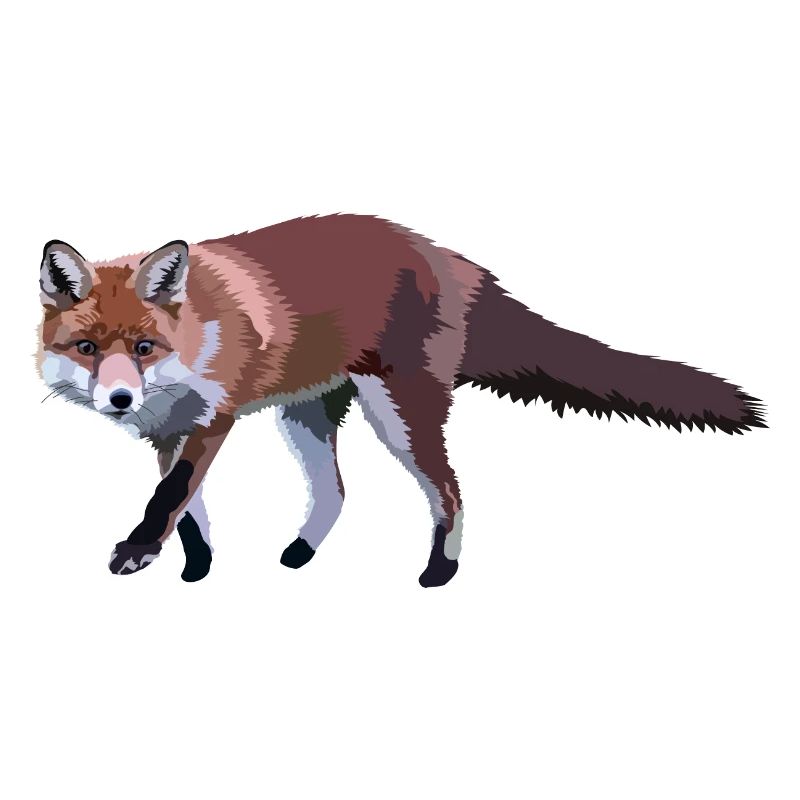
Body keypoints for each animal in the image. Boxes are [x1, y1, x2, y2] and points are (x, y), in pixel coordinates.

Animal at [37, 214, 766, 587]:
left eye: (143, 346)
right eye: (88, 349)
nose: (121, 398)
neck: (196, 335)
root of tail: (446, 252)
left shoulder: (212, 421)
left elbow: (171, 496)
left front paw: (139, 551)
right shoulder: (167, 432)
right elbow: (188, 509)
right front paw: (196, 565)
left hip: (399, 416)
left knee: (450, 489)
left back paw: (440, 571)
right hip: (306, 417)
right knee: (336, 491)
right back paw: (301, 555)